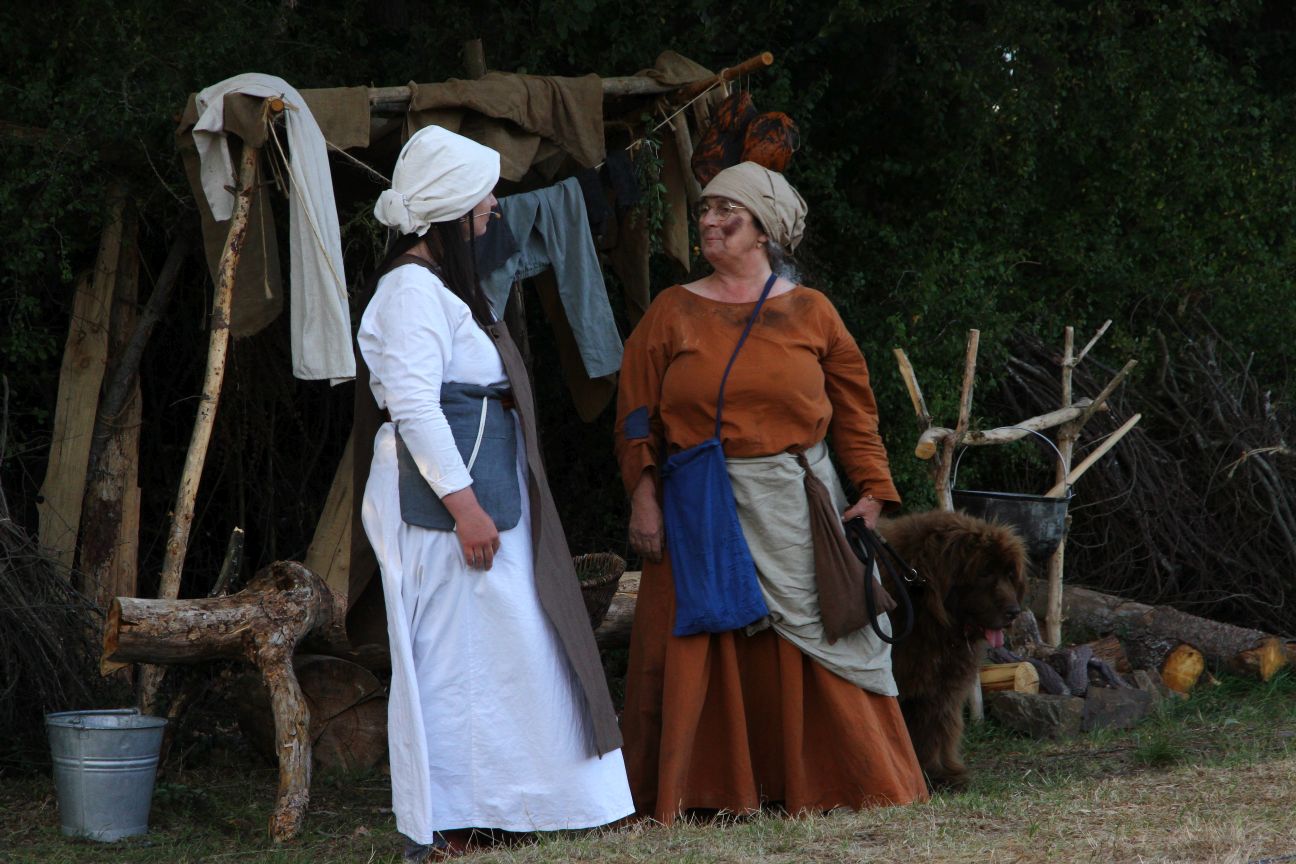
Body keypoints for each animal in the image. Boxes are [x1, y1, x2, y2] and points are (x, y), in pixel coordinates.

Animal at [876, 510, 1028, 790]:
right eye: (985, 572)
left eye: (1010, 574)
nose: (1014, 612)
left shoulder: (940, 683)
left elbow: (936, 724)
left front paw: (939, 774)